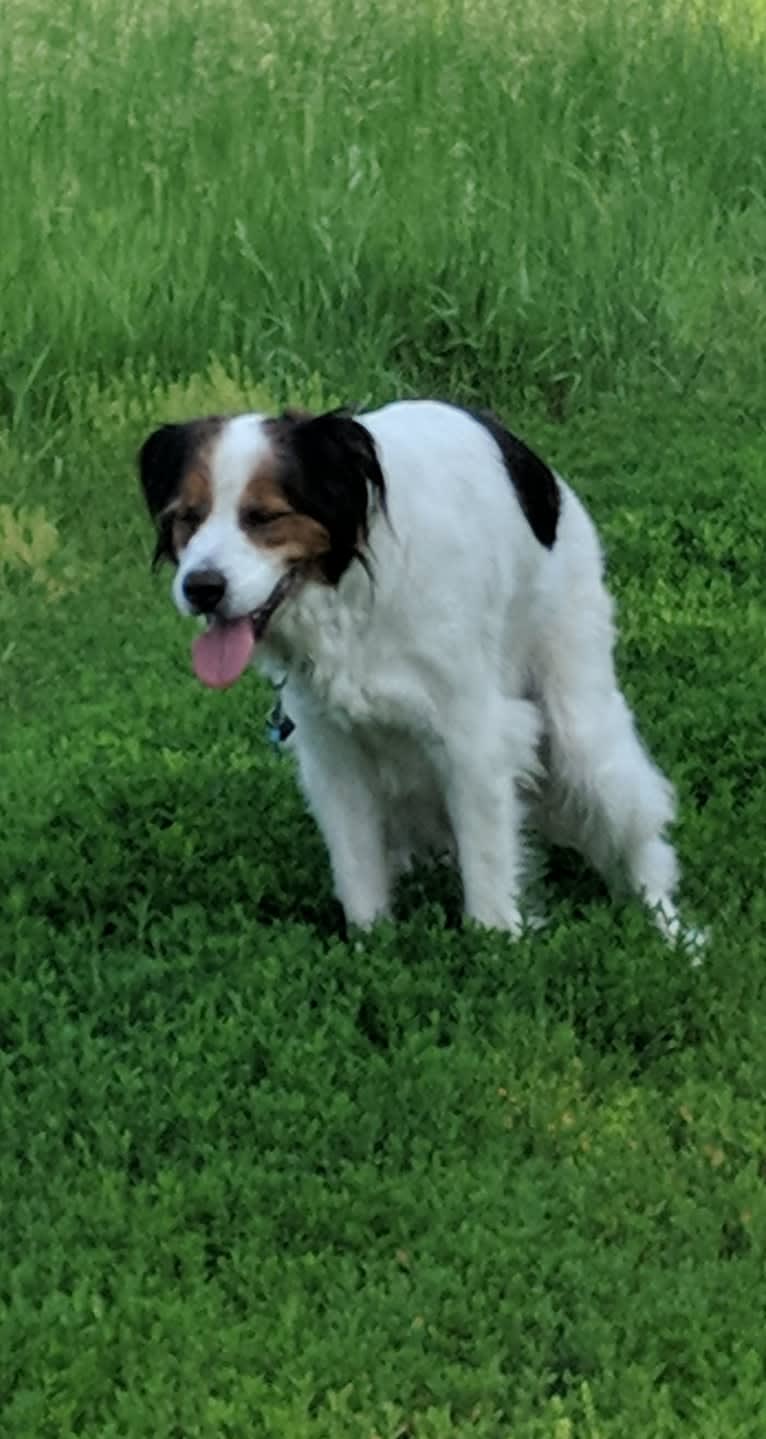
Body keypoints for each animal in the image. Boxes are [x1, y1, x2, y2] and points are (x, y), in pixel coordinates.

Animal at [138, 400, 688, 938]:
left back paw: (672, 932)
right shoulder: (332, 751)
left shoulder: (474, 737)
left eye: (264, 517)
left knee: (643, 839)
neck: (352, 596)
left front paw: (496, 949)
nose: (200, 588)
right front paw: (372, 945)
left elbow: (489, 873)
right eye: (187, 517)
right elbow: (358, 872)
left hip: (582, 734)